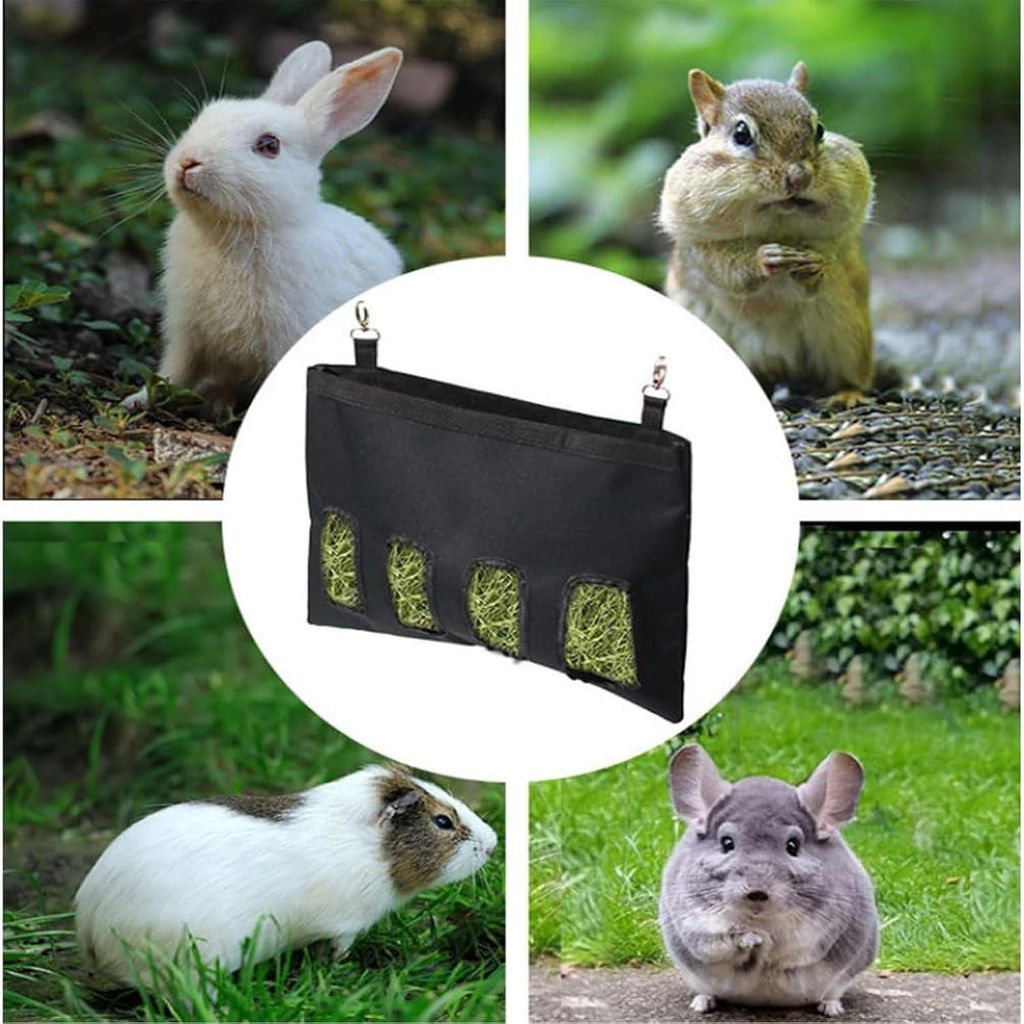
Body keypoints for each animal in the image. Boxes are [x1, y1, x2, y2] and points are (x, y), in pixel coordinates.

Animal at [123, 40, 404, 415]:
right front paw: (136, 400)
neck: (233, 230)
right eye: (202, 118)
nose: (187, 162)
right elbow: (174, 371)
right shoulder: (187, 333)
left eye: (269, 146)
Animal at [658, 62, 875, 405]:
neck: (777, 222)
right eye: (741, 133)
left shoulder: (843, 230)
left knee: (849, 374)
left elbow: (831, 250)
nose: (799, 178)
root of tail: (778, 365)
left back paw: (847, 393)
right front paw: (764, 258)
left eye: (820, 129)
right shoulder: (698, 245)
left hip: (847, 334)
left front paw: (816, 263)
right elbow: (725, 268)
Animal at [659, 745, 878, 1017]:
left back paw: (831, 1008)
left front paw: (766, 945)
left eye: (793, 846)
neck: (761, 920)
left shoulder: (818, 931)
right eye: (726, 843)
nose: (757, 892)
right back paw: (702, 1004)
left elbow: (791, 950)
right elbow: (718, 943)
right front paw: (752, 939)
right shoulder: (695, 923)